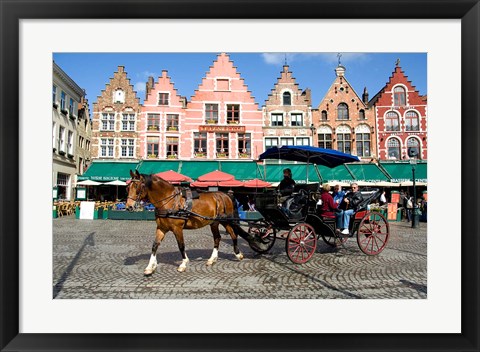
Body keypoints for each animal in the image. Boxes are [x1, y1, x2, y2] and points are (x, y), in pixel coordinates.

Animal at [125, 169, 256, 274]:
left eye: (136, 187)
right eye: (127, 188)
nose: (129, 207)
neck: (169, 201)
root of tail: (225, 195)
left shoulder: (177, 228)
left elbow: (181, 245)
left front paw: (183, 264)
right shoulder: (161, 228)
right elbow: (154, 245)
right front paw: (150, 267)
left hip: (226, 221)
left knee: (233, 234)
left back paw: (238, 254)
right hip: (214, 222)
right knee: (217, 238)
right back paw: (212, 259)